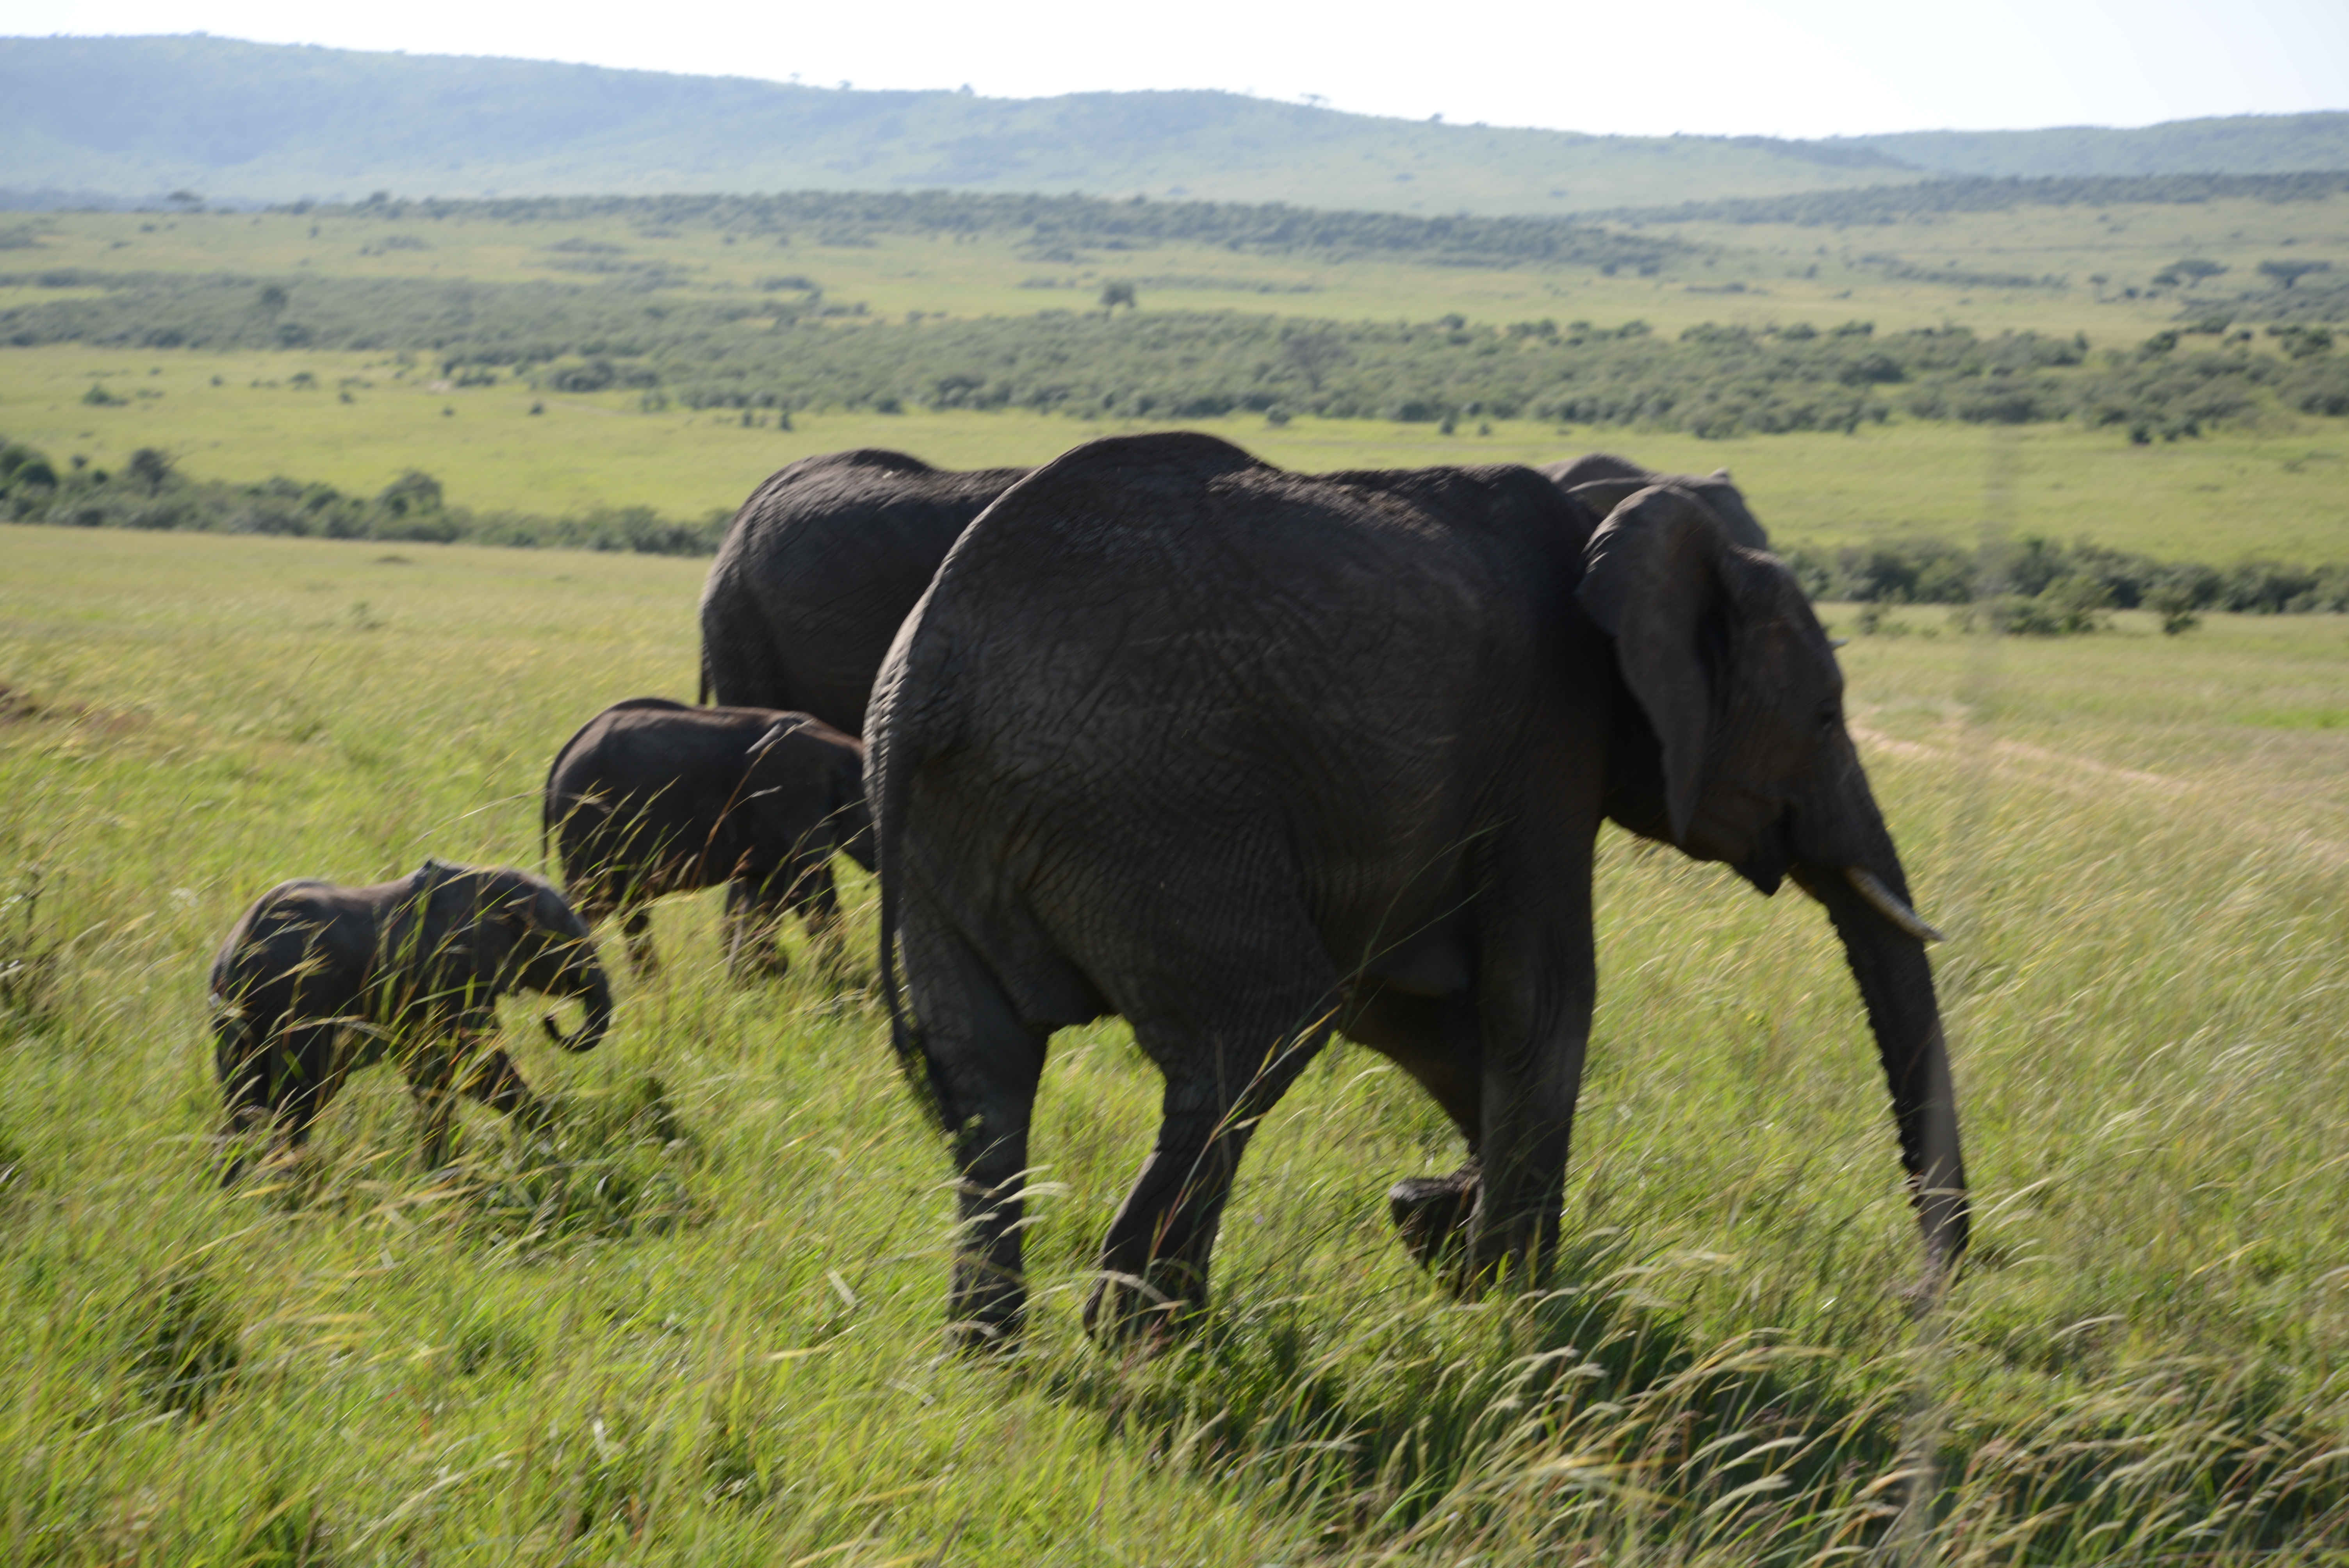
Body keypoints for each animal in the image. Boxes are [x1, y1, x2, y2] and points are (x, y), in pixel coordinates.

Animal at [209, 859, 612, 1179]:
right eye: (570, 940)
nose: (551, 1020)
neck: (492, 878)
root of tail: (236, 956)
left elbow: (431, 1073)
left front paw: (440, 1172)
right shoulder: (450, 973)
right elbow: (475, 1064)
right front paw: (551, 1144)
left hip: (238, 1020)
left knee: (244, 1103)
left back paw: (237, 1187)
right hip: (299, 1003)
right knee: (297, 1100)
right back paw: (286, 1185)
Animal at [542, 698, 875, 979]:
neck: (842, 749)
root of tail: (562, 757)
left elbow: (762, 897)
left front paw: (756, 982)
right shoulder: (787, 804)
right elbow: (809, 890)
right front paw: (847, 987)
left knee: (630, 907)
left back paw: (649, 987)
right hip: (589, 822)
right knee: (593, 905)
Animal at [869, 430, 1967, 1343]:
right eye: (1823, 717)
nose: (1910, 1296)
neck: (1617, 514)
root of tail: (931, 671)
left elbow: (1405, 1011)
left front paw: (1436, 1227)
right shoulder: (1545, 741)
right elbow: (1539, 999)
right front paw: (1515, 1310)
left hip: (961, 833)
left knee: (987, 1074)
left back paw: (990, 1351)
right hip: (1147, 801)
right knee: (1259, 1028)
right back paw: (1147, 1336)